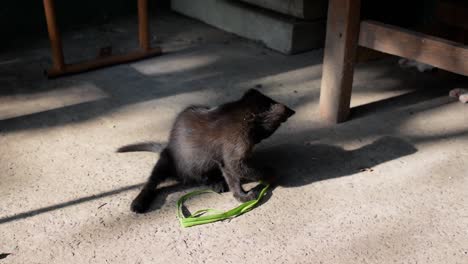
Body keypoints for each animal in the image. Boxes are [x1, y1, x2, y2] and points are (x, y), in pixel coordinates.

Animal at [119, 88, 294, 212]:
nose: (258, 141)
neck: (241, 114)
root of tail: (167, 145)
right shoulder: (234, 157)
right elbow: (249, 171)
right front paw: (270, 175)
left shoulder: (225, 161)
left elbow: (233, 179)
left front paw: (240, 196)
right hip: (166, 162)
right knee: (152, 182)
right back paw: (138, 203)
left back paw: (216, 183)